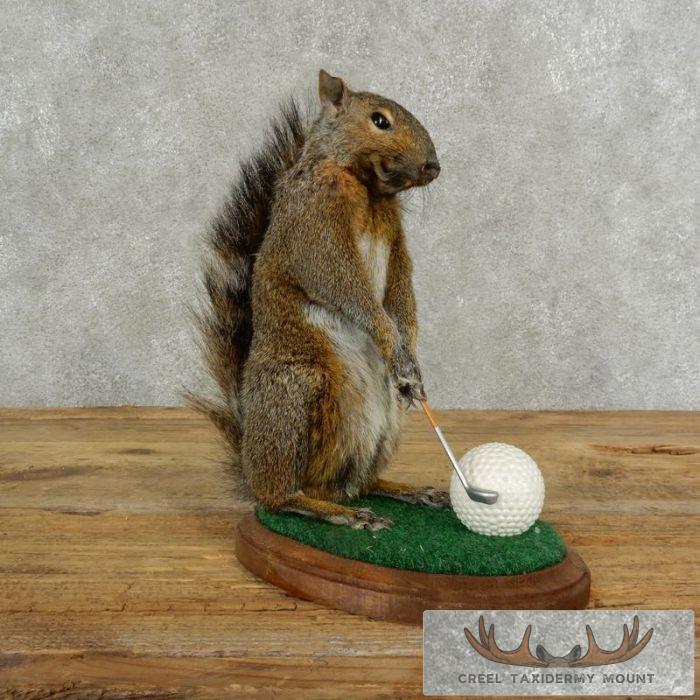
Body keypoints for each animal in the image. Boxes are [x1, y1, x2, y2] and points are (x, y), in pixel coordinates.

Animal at [190, 70, 448, 530]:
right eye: (379, 120)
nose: (433, 167)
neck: (369, 190)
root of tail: (250, 462)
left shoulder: (397, 243)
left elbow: (402, 292)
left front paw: (410, 361)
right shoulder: (315, 225)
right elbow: (345, 286)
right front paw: (392, 343)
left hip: (384, 425)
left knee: (359, 483)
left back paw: (404, 491)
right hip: (296, 395)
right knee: (282, 495)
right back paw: (332, 511)